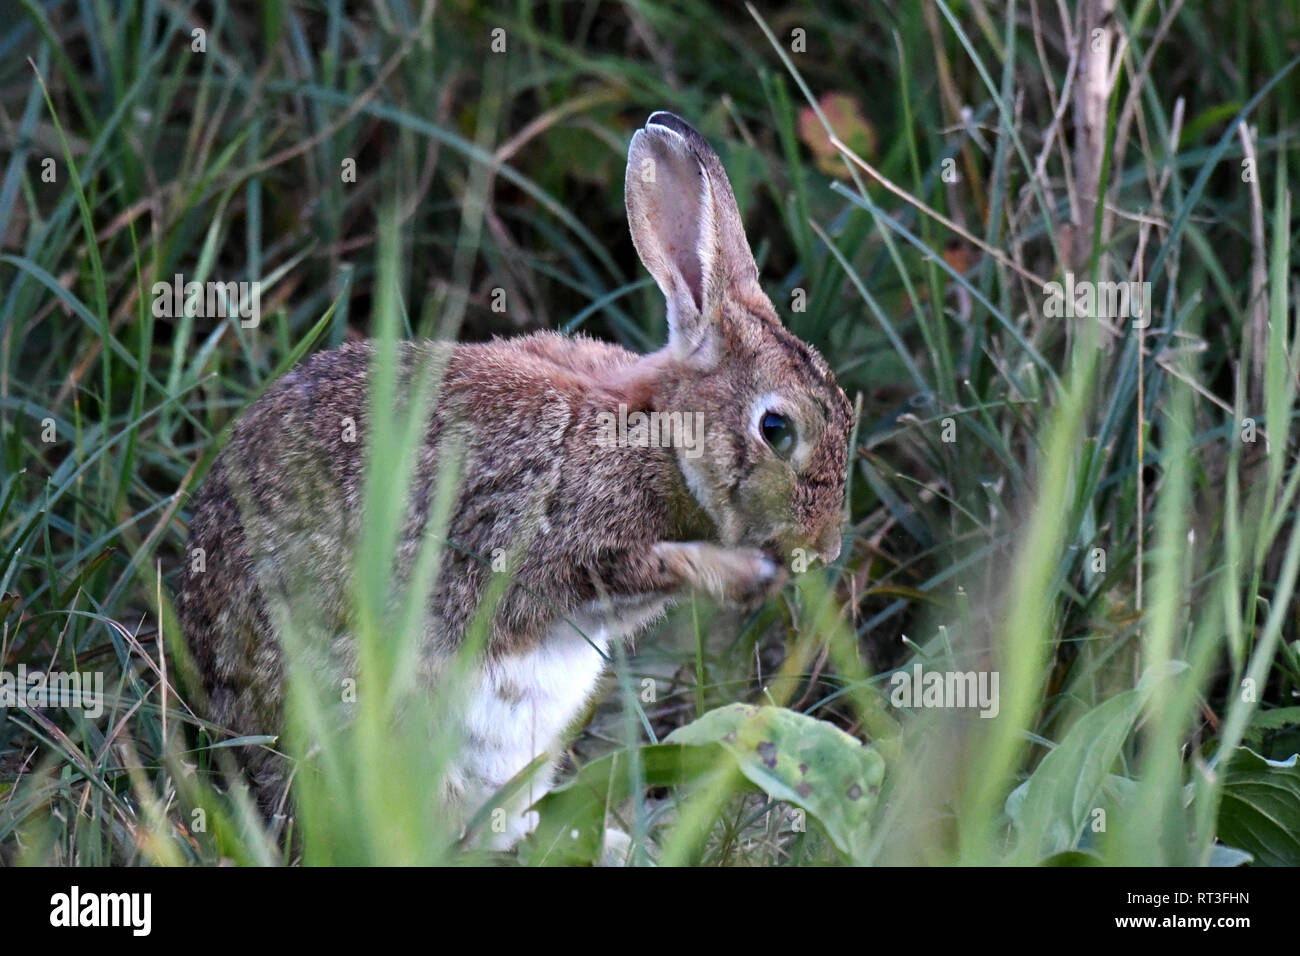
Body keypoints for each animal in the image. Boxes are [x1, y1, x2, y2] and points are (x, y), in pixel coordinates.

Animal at [176, 111, 854, 850]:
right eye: (775, 429)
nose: (823, 548)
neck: (659, 434)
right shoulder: (549, 540)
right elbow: (625, 570)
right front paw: (743, 575)